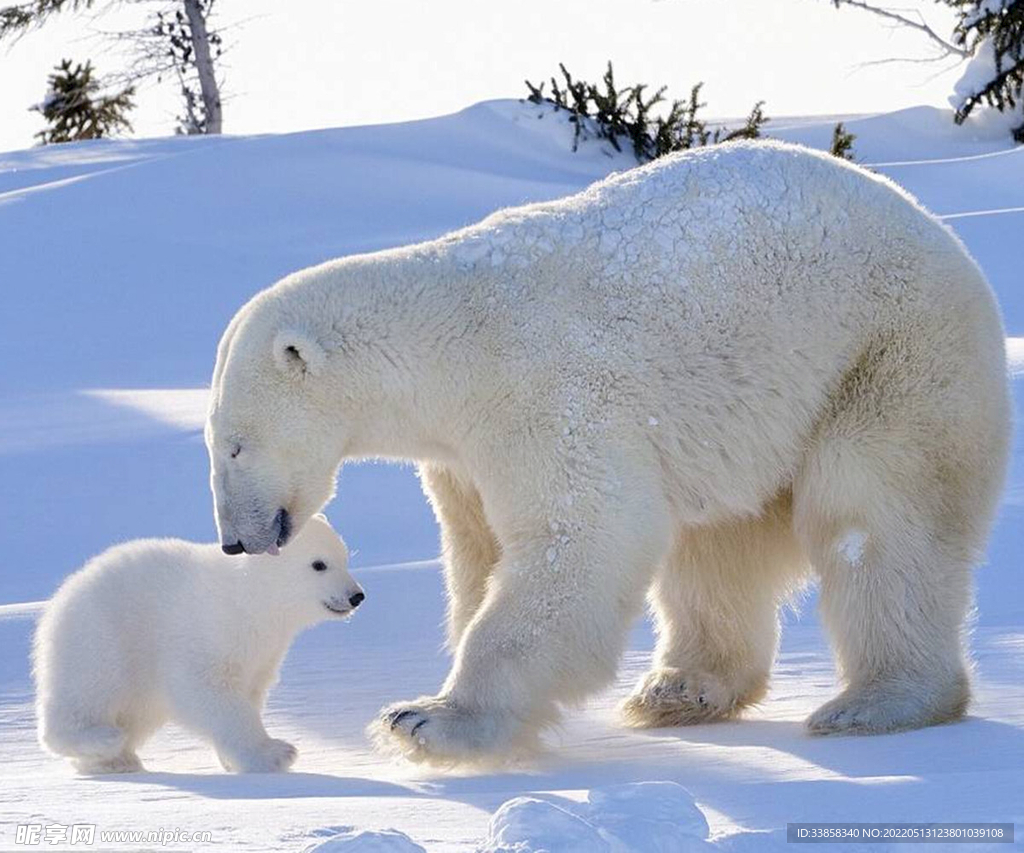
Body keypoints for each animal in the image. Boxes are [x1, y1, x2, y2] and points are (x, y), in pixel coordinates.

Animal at [205, 139, 1007, 765]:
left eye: (235, 445)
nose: (236, 541)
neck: (452, 342)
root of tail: (943, 236)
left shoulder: (544, 393)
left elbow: (577, 539)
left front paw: (429, 721)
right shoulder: (461, 455)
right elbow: (478, 551)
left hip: (890, 358)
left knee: (873, 520)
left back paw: (876, 703)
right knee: (717, 548)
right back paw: (679, 690)